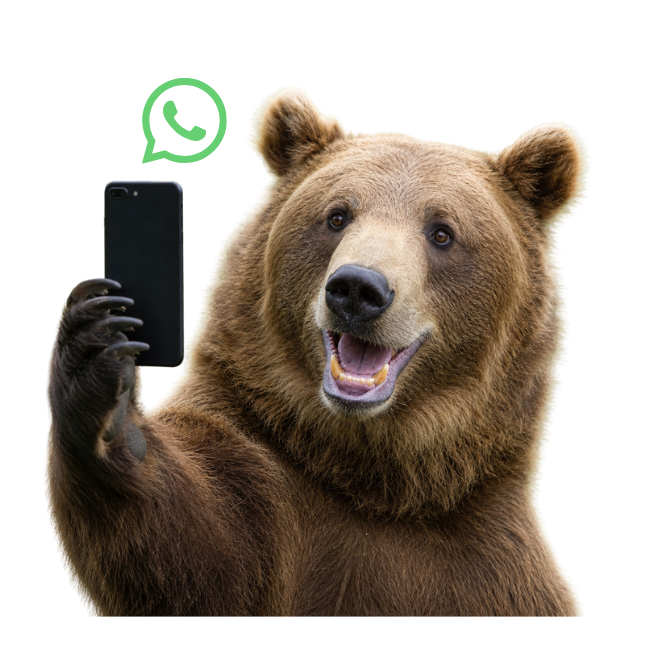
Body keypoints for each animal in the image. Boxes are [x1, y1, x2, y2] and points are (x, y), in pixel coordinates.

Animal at [45, 85, 591, 617]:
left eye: (442, 232)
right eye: (337, 215)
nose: (358, 289)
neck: (383, 479)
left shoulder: (492, 560)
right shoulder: (264, 483)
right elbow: (196, 551)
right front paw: (106, 396)